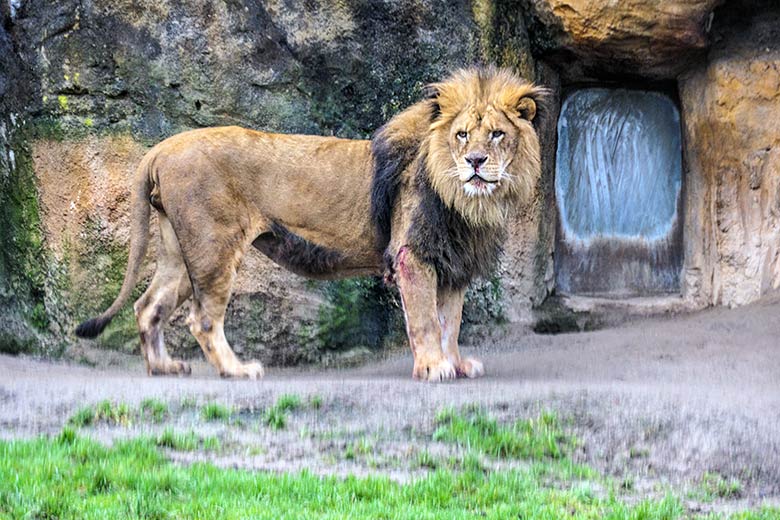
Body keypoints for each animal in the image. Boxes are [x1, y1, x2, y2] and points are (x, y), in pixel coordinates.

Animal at [76, 66, 544, 382]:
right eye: (462, 135)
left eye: (497, 134)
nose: (476, 162)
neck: (466, 202)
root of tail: (162, 148)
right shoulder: (413, 255)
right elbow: (427, 320)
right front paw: (434, 369)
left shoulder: (452, 264)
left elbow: (451, 322)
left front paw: (457, 364)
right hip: (214, 247)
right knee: (203, 319)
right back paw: (237, 370)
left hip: (179, 250)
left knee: (148, 306)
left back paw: (163, 367)